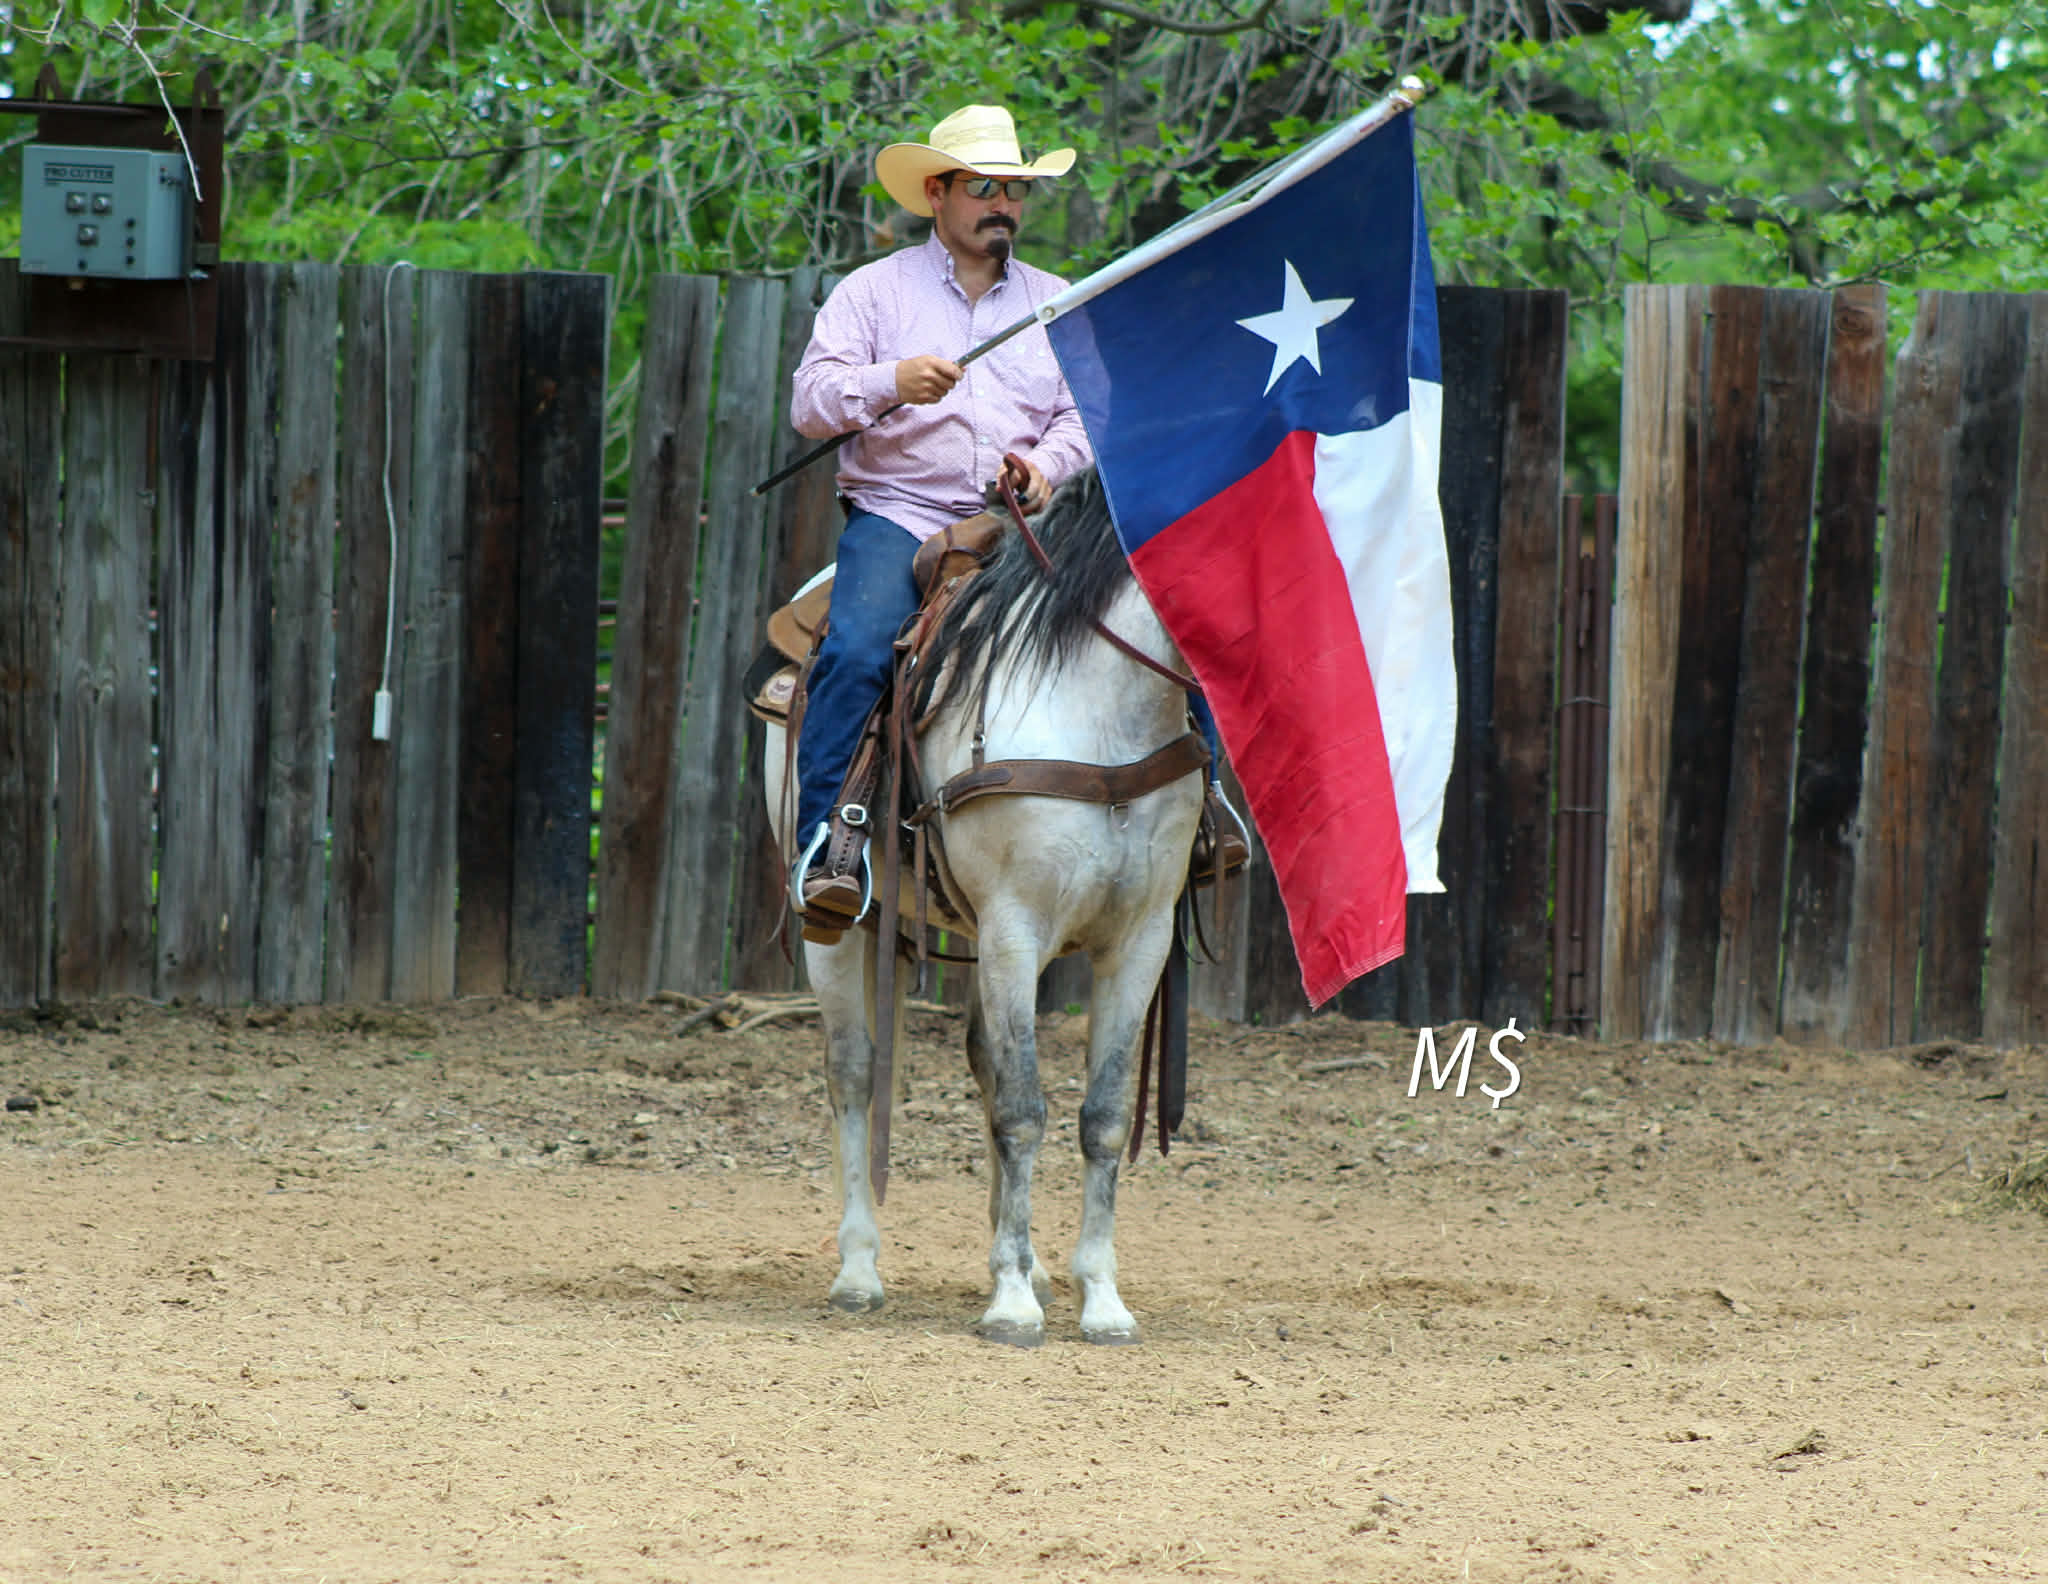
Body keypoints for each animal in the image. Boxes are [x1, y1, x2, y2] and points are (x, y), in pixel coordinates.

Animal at [763, 467, 1206, 1346]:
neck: (1099, 718)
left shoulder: (1138, 939)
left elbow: (1102, 1114)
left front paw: (1096, 1297)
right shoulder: (1013, 927)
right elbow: (1024, 1107)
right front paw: (1011, 1305)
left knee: (982, 1065)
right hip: (843, 930)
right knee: (854, 1072)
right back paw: (859, 1269)